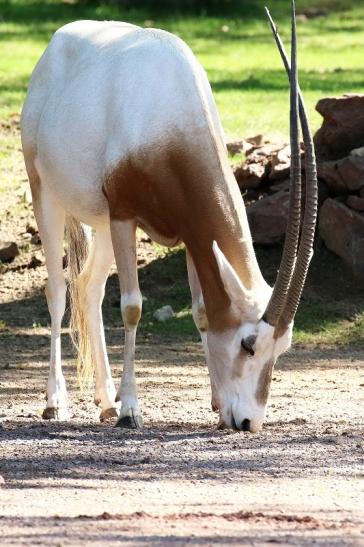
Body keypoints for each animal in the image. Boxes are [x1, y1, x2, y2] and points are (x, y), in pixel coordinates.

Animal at [21, 3, 316, 432]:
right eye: (248, 344)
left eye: (281, 350)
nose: (248, 422)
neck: (170, 119)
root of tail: (55, 45)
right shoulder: (125, 216)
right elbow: (132, 307)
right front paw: (131, 409)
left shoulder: (191, 233)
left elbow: (202, 312)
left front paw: (215, 405)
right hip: (49, 195)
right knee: (58, 290)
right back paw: (57, 402)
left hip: (102, 224)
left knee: (89, 288)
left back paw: (104, 400)